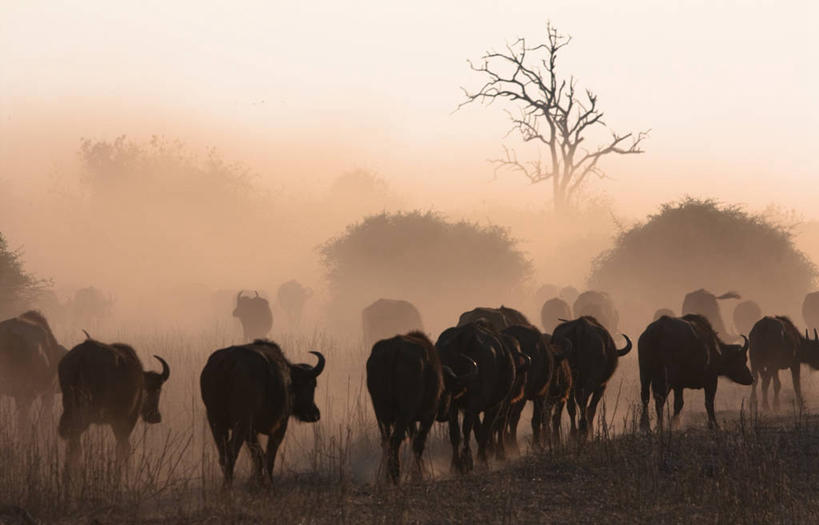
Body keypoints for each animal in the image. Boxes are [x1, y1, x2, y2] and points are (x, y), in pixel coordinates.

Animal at [58, 334, 170, 464]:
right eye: (157, 389)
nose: (156, 417)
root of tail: (82, 357)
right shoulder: (126, 419)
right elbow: (123, 446)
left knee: (74, 442)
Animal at [200, 340, 326, 484]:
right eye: (312, 384)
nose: (315, 414)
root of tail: (227, 363)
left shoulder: (251, 431)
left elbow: (258, 456)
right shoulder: (280, 426)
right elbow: (269, 456)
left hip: (215, 421)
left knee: (223, 455)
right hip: (241, 422)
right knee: (232, 453)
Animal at [366, 332, 474, 484]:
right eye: (447, 389)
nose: (445, 413)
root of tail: (394, 350)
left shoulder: (411, 420)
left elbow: (413, 439)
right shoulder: (428, 415)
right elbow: (419, 443)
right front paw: (418, 474)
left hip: (380, 412)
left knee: (386, 441)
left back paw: (387, 476)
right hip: (405, 412)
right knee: (395, 440)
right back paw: (395, 474)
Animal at [438, 320, 516, 470]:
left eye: (448, 389)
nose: (440, 413)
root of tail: (465, 336)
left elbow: (474, 430)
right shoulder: (490, 405)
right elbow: (482, 429)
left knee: (464, 430)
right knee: (467, 429)